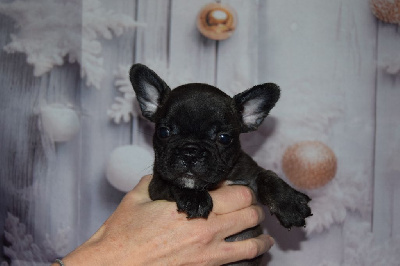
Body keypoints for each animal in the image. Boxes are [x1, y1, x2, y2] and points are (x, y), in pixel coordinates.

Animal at [130, 64, 310, 264]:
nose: (190, 151)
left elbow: (267, 176)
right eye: (163, 132)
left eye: (224, 138)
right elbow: (173, 183)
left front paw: (289, 204)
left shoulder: (249, 172)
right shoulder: (156, 186)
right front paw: (194, 197)